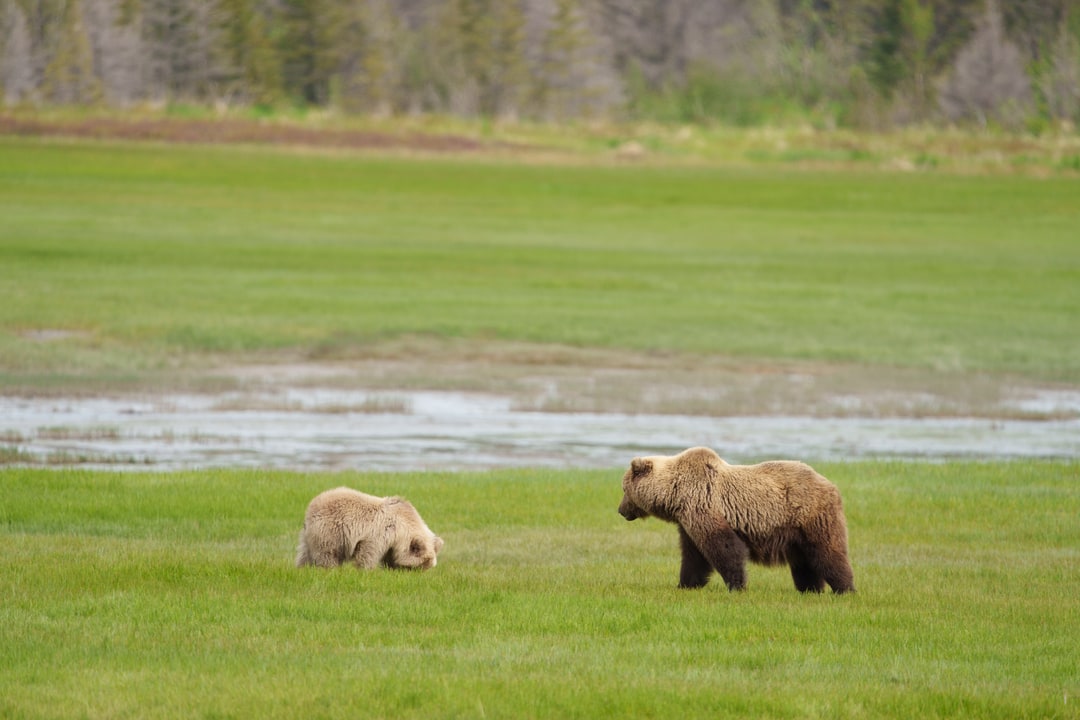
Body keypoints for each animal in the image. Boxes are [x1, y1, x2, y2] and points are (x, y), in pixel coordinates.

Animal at [295, 487, 444, 570]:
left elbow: (389, 557)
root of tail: (311, 507)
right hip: (330, 530)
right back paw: (329, 569)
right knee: (328, 553)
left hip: (309, 535)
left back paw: (302, 568)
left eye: (427, 567)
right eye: (417, 566)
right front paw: (366, 570)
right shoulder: (380, 532)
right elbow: (369, 553)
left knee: (304, 554)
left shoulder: (392, 543)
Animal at [618, 446, 854, 593]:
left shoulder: (704, 505)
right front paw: (686, 583)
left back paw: (844, 588)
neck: (675, 493)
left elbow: (724, 547)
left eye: (624, 489)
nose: (620, 510)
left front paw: (736, 584)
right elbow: (694, 555)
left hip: (811, 516)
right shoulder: (687, 520)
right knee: (804, 561)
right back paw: (810, 588)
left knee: (827, 552)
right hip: (795, 533)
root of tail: (831, 485)